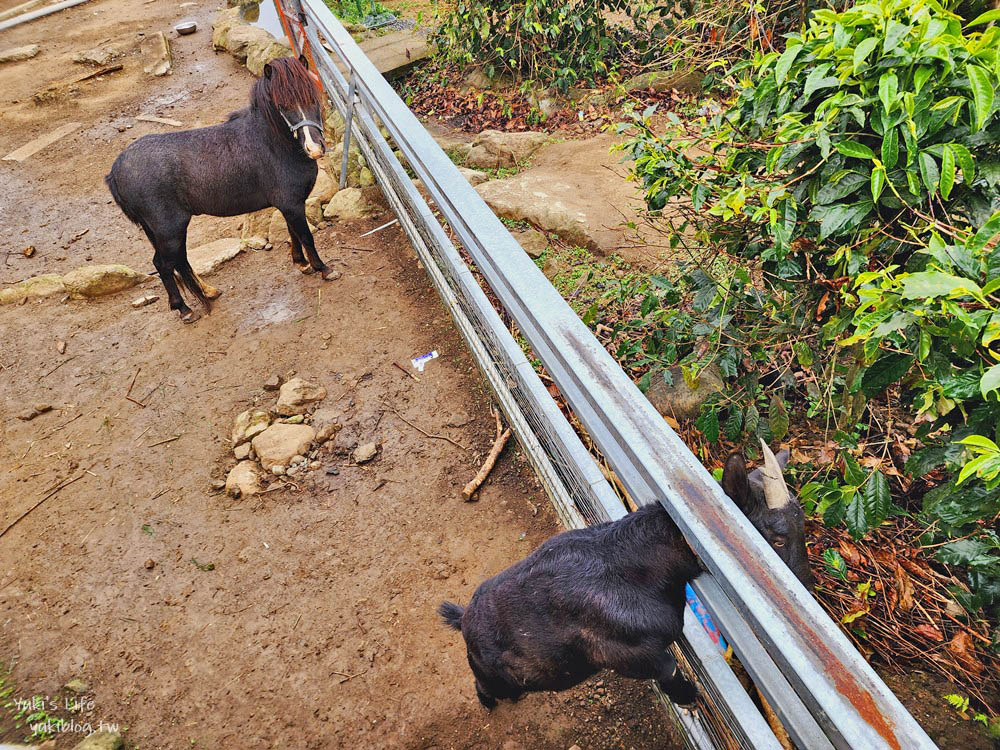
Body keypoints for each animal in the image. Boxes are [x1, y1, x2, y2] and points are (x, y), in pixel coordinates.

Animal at [105, 54, 334, 322]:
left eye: (312, 96)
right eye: (282, 106)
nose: (315, 148)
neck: (274, 144)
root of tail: (116, 170)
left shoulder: (288, 206)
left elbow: (293, 234)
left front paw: (302, 264)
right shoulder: (292, 204)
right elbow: (306, 235)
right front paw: (323, 268)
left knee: (180, 260)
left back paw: (209, 292)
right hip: (168, 229)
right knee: (163, 264)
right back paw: (184, 310)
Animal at [440, 444, 812, 712]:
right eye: (778, 538)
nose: (805, 587)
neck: (640, 565)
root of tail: (464, 620)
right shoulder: (625, 653)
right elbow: (668, 669)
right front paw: (689, 696)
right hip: (494, 675)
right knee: (482, 685)